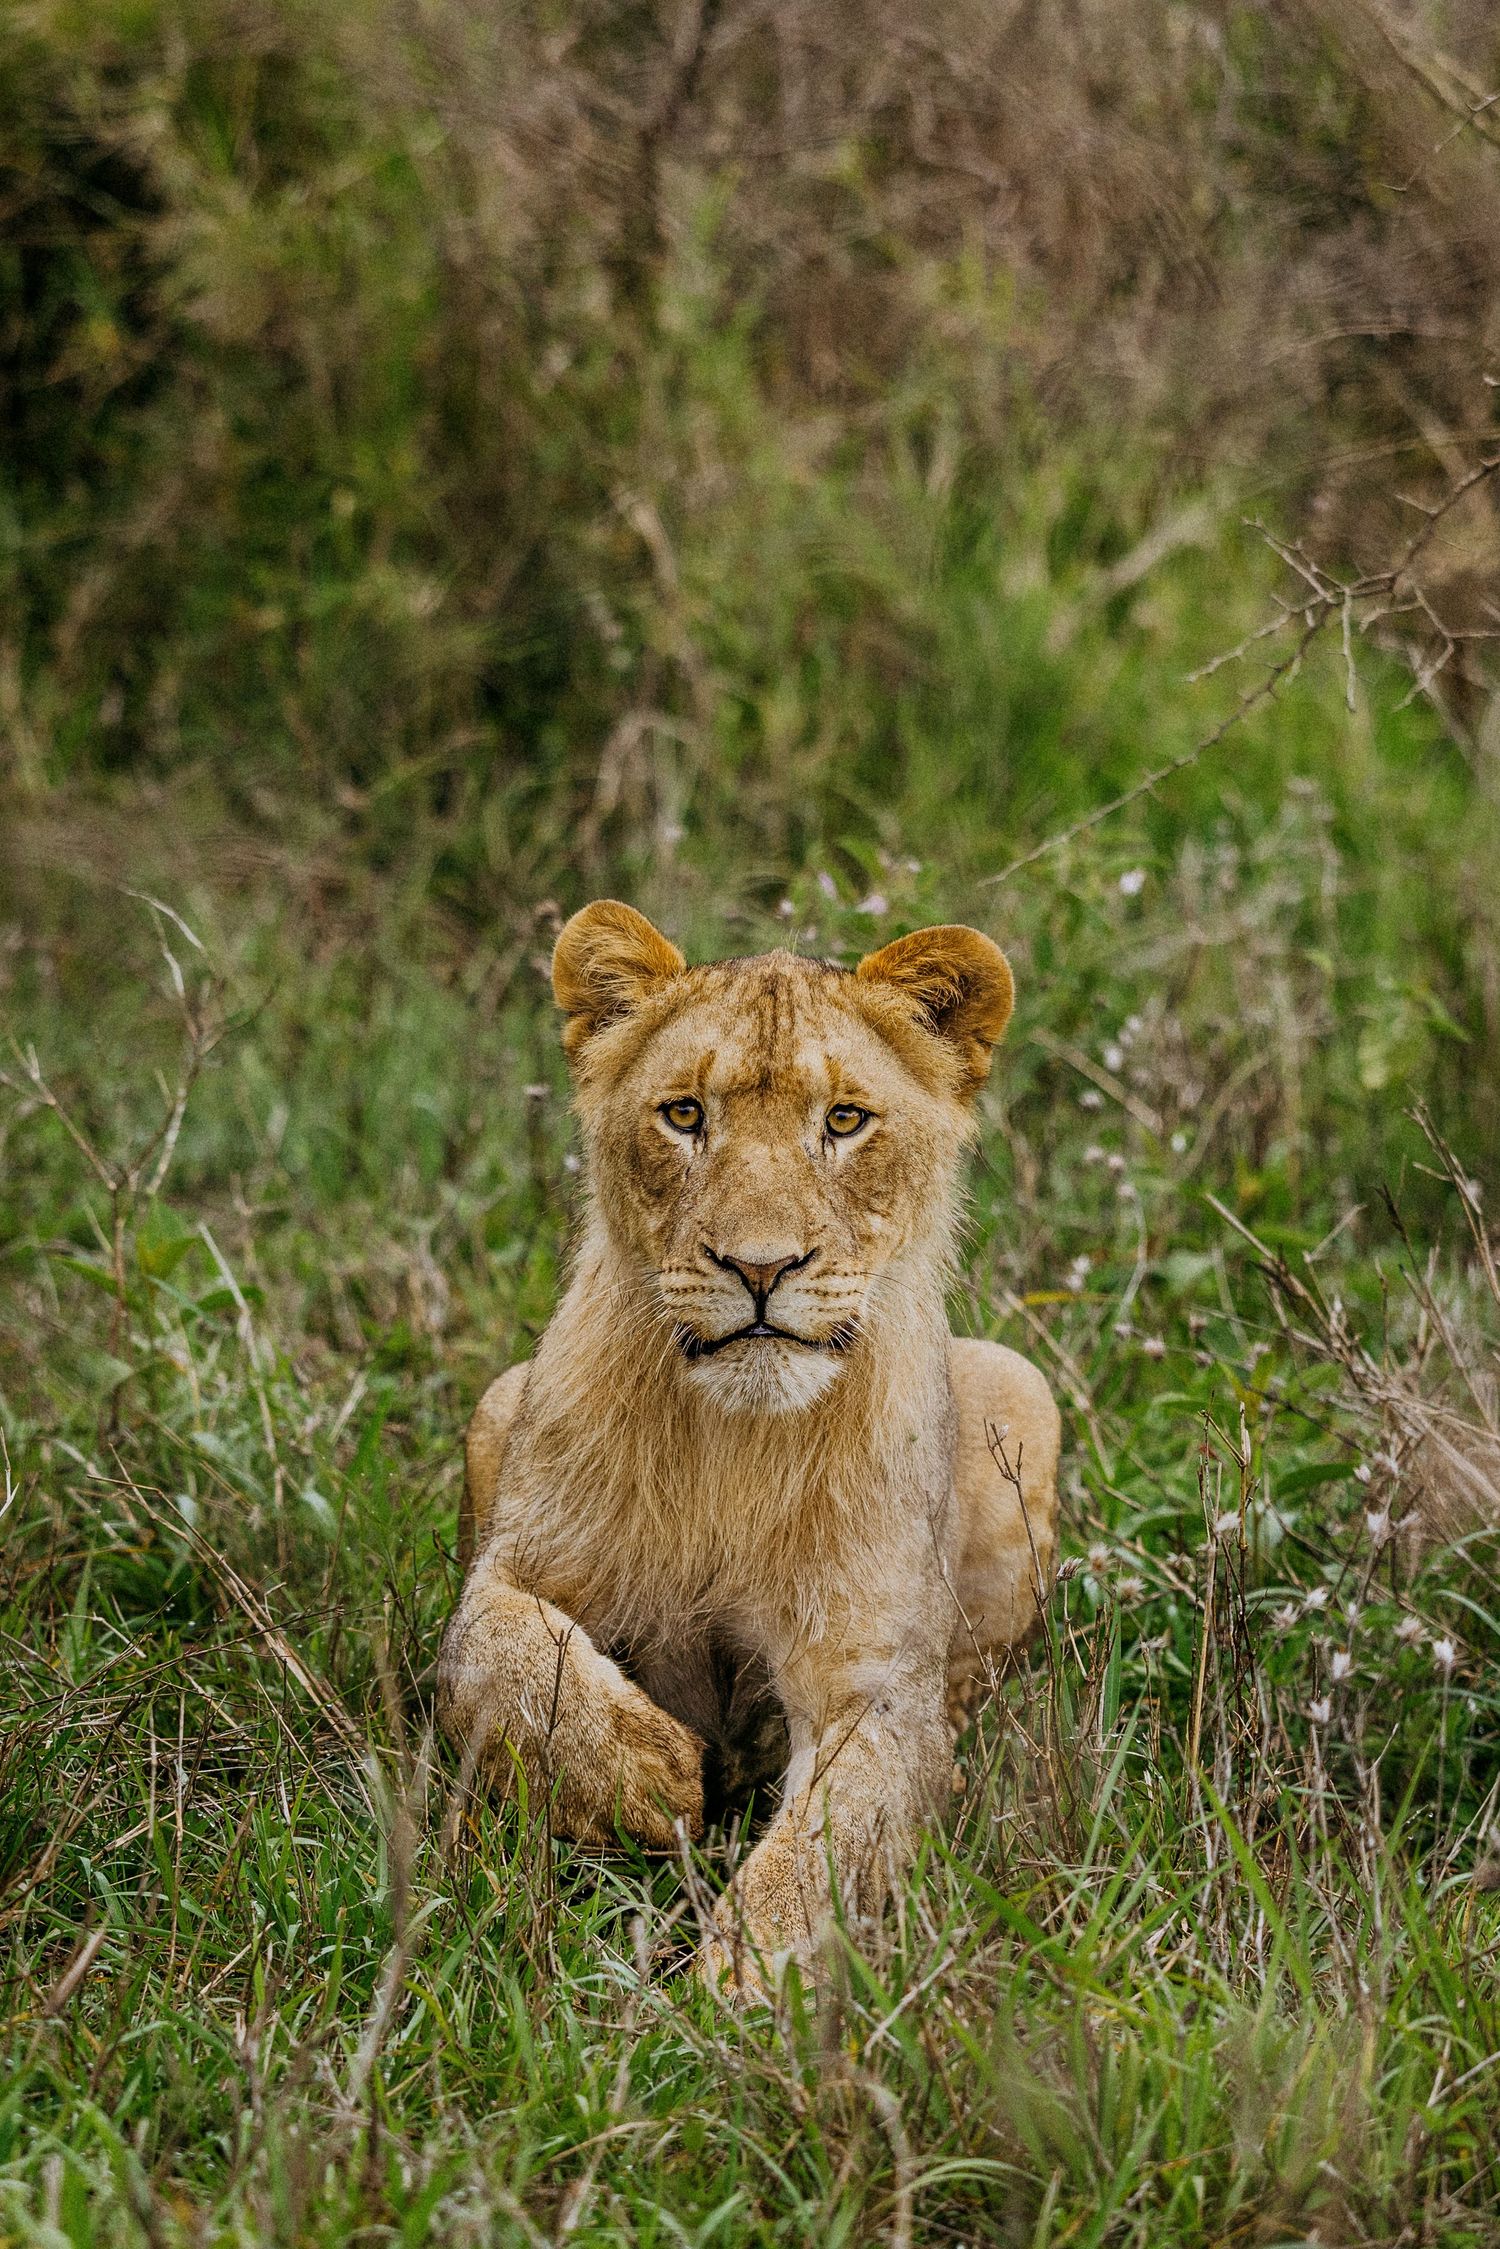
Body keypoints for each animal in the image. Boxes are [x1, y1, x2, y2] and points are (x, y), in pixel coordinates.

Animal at [437, 901, 1060, 1991]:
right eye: (685, 1114)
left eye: (845, 1120)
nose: (760, 1267)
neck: (737, 1443)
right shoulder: (515, 1564)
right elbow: (499, 1648)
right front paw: (644, 1770)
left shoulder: (875, 1681)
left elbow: (837, 1829)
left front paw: (753, 1978)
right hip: (494, 1398)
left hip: (1023, 1388)